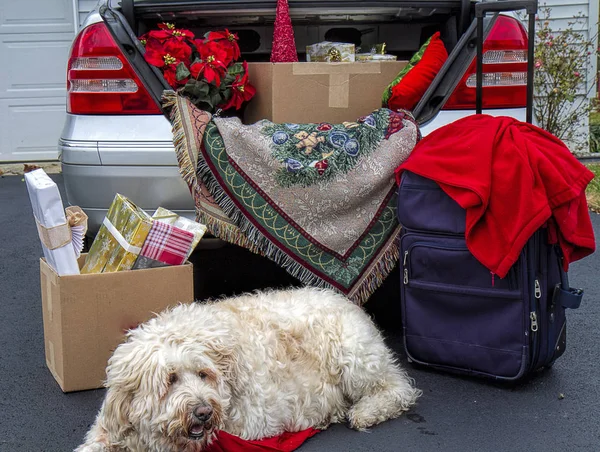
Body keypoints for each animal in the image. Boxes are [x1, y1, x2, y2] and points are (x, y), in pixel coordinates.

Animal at [76, 288, 422, 450]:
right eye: (170, 379)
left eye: (203, 374)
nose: (203, 411)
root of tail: (345, 300)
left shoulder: (250, 423)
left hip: (355, 357)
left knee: (398, 389)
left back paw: (365, 411)